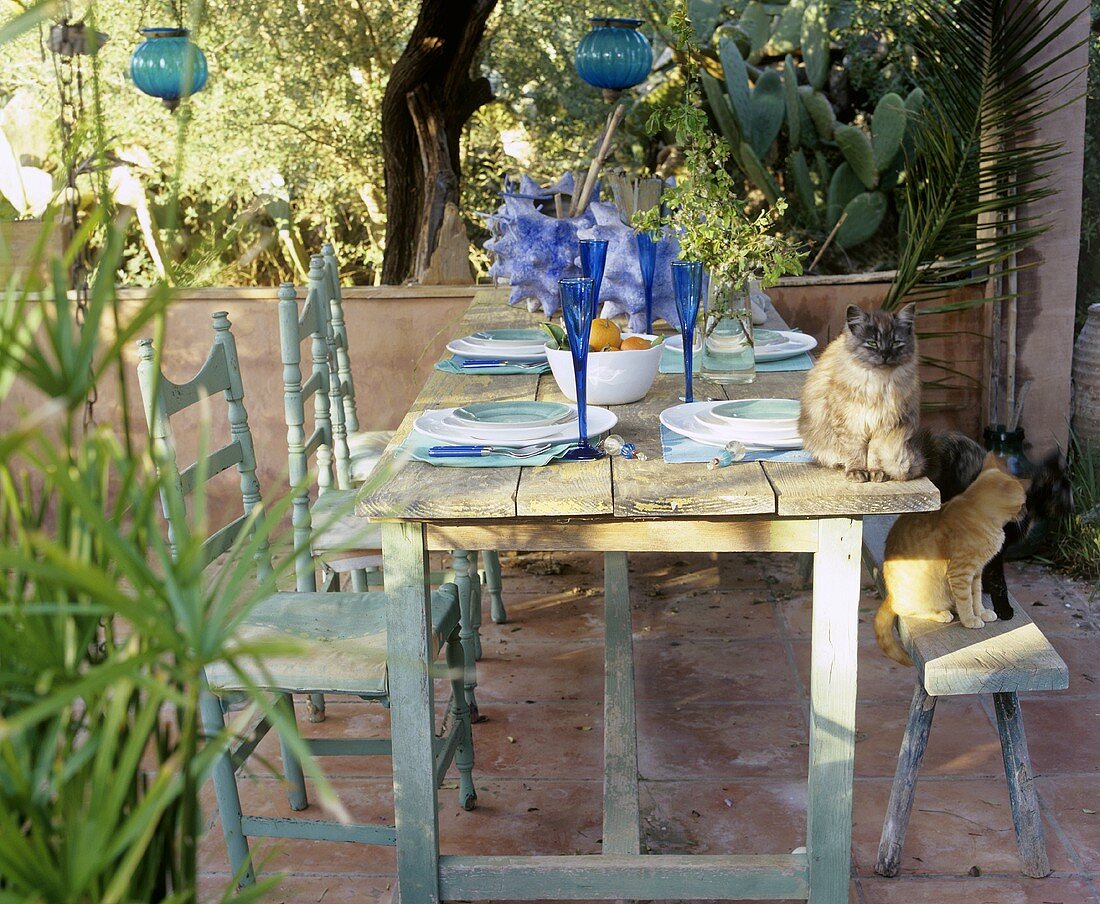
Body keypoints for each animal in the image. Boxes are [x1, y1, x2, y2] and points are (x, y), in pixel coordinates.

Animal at [796, 303, 924, 481]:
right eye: (872, 343)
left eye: (896, 342)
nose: (885, 354)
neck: (879, 383)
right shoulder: (850, 423)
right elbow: (855, 451)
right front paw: (857, 472)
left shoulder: (884, 425)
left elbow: (874, 453)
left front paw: (877, 472)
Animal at [871, 459, 1025, 664]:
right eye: (1023, 503)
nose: (1025, 513)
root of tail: (890, 595)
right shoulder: (961, 573)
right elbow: (966, 601)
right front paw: (970, 620)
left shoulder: (976, 573)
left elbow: (976, 597)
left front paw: (981, 612)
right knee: (906, 609)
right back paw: (941, 614)